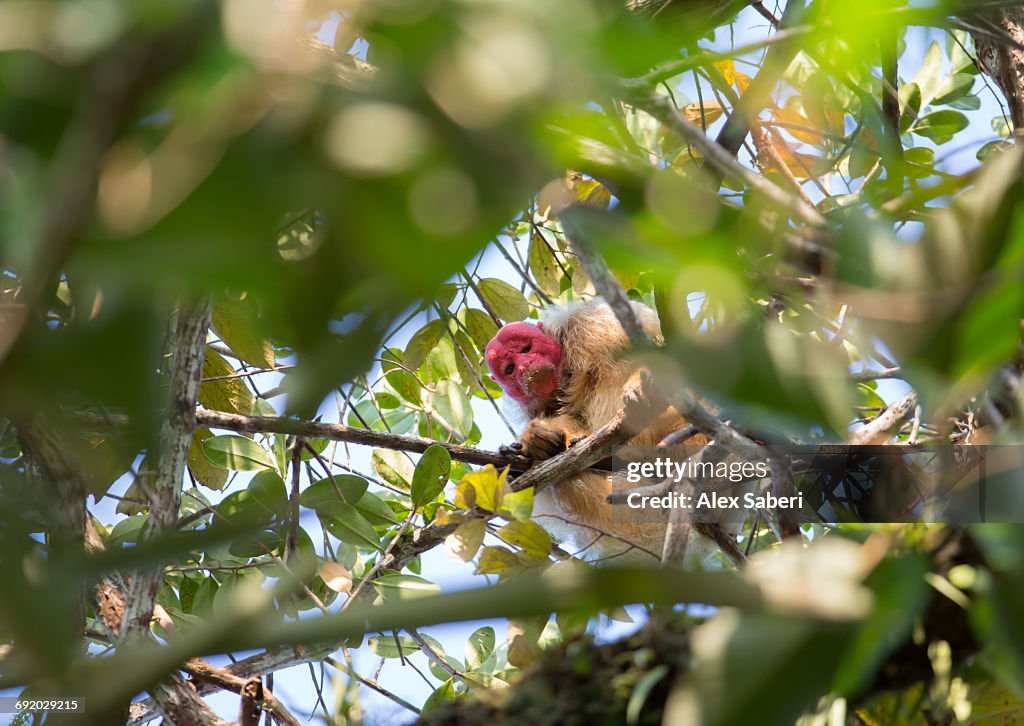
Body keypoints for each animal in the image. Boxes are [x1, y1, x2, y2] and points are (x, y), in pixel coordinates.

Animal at [485, 298, 728, 563]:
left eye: (526, 349)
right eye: (509, 369)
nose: (525, 367)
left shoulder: (591, 324)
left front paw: (640, 383)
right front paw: (536, 439)